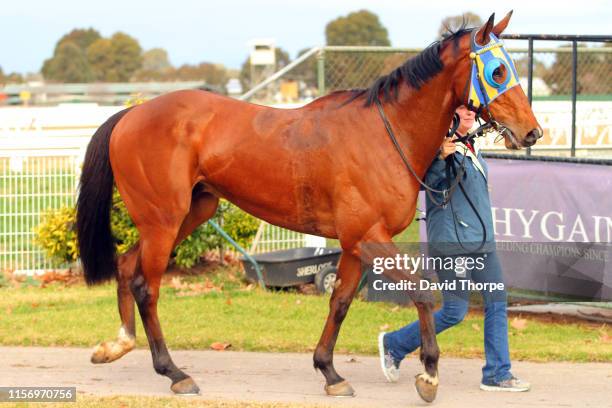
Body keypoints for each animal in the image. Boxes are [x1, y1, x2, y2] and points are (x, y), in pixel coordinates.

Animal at [76, 11, 540, 402]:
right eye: (498, 71)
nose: (531, 132)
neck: (385, 134)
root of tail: (130, 115)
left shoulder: (355, 245)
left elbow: (340, 303)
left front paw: (330, 372)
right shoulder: (370, 237)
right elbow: (423, 291)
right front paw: (428, 373)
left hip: (189, 213)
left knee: (126, 265)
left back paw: (117, 343)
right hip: (164, 220)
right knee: (146, 286)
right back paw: (174, 372)